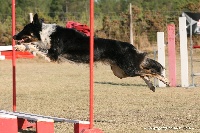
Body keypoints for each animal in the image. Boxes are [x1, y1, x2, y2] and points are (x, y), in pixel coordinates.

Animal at [12, 13, 169, 91]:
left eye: (24, 29)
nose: (14, 36)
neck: (46, 33)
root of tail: (131, 46)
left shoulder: (52, 55)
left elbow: (33, 45)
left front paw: (22, 46)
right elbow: (31, 46)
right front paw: (20, 48)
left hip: (127, 69)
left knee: (150, 71)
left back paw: (165, 81)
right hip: (121, 72)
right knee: (144, 72)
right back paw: (151, 85)